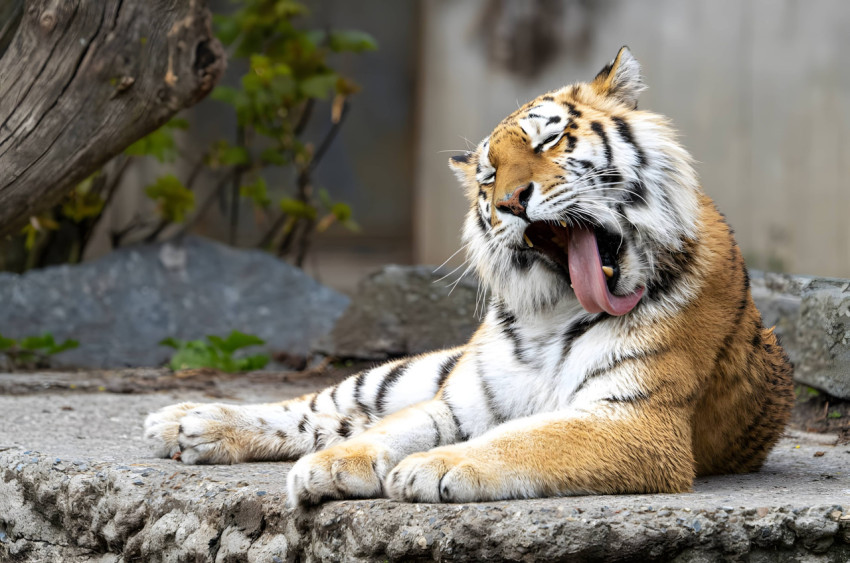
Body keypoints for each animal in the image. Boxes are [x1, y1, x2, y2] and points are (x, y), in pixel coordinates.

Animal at [144, 46, 794, 506]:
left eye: (550, 139)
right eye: (486, 175)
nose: (509, 202)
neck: (556, 310)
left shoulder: (636, 420)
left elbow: (528, 438)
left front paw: (435, 467)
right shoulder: (459, 404)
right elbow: (386, 431)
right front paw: (334, 467)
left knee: (335, 419)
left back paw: (192, 428)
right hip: (412, 372)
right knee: (327, 406)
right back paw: (182, 420)